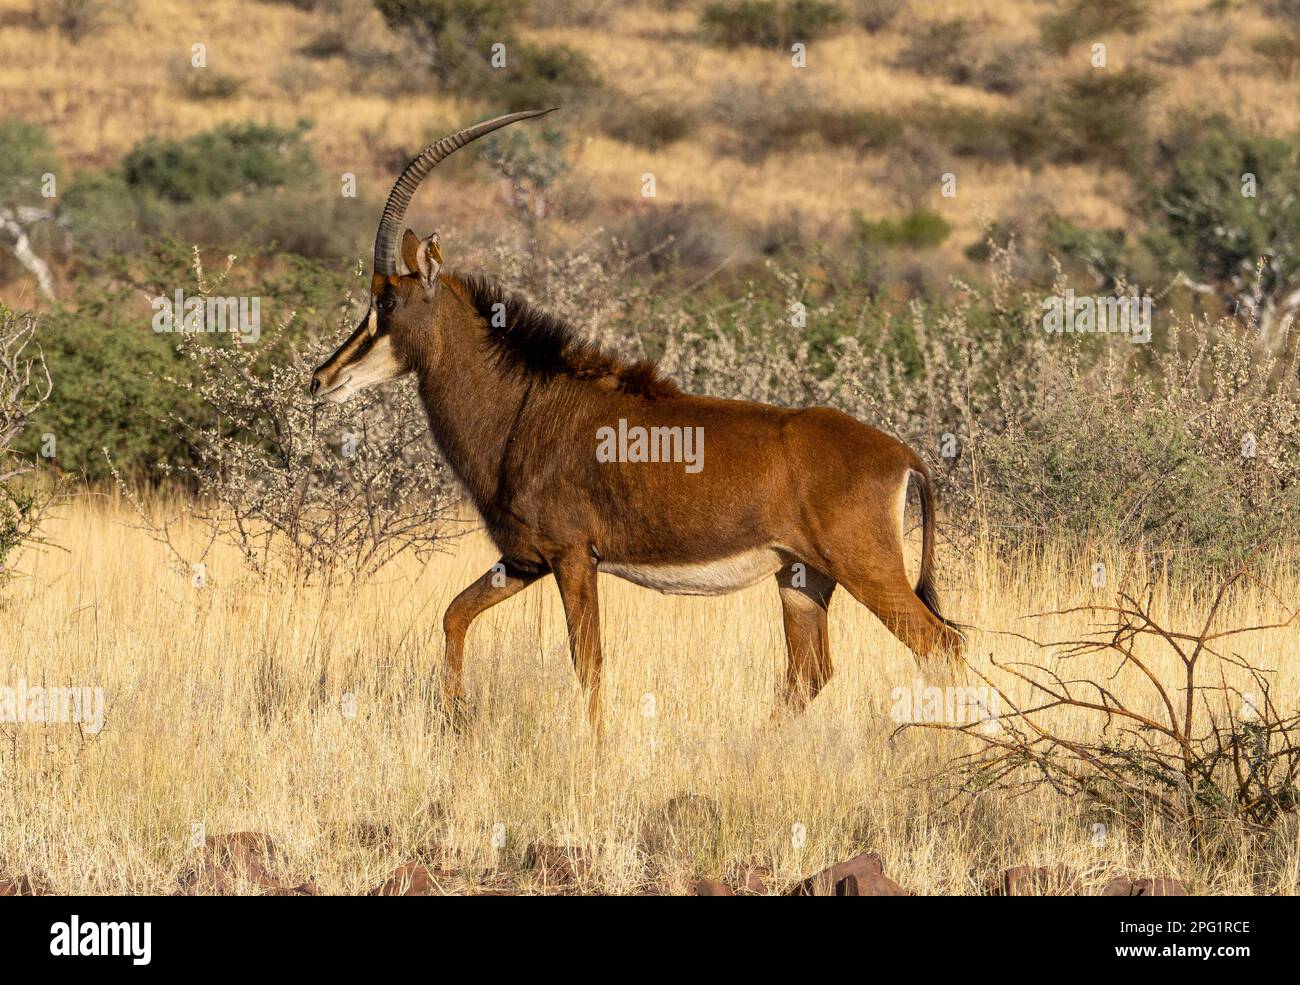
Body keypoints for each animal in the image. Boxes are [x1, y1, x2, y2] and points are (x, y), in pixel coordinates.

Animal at [312, 113, 967, 732]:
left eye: (387, 303)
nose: (321, 378)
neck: (524, 404)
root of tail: (903, 456)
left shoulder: (573, 556)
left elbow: (588, 660)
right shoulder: (526, 559)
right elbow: (454, 616)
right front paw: (455, 720)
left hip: (866, 570)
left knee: (941, 645)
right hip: (802, 579)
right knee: (810, 672)